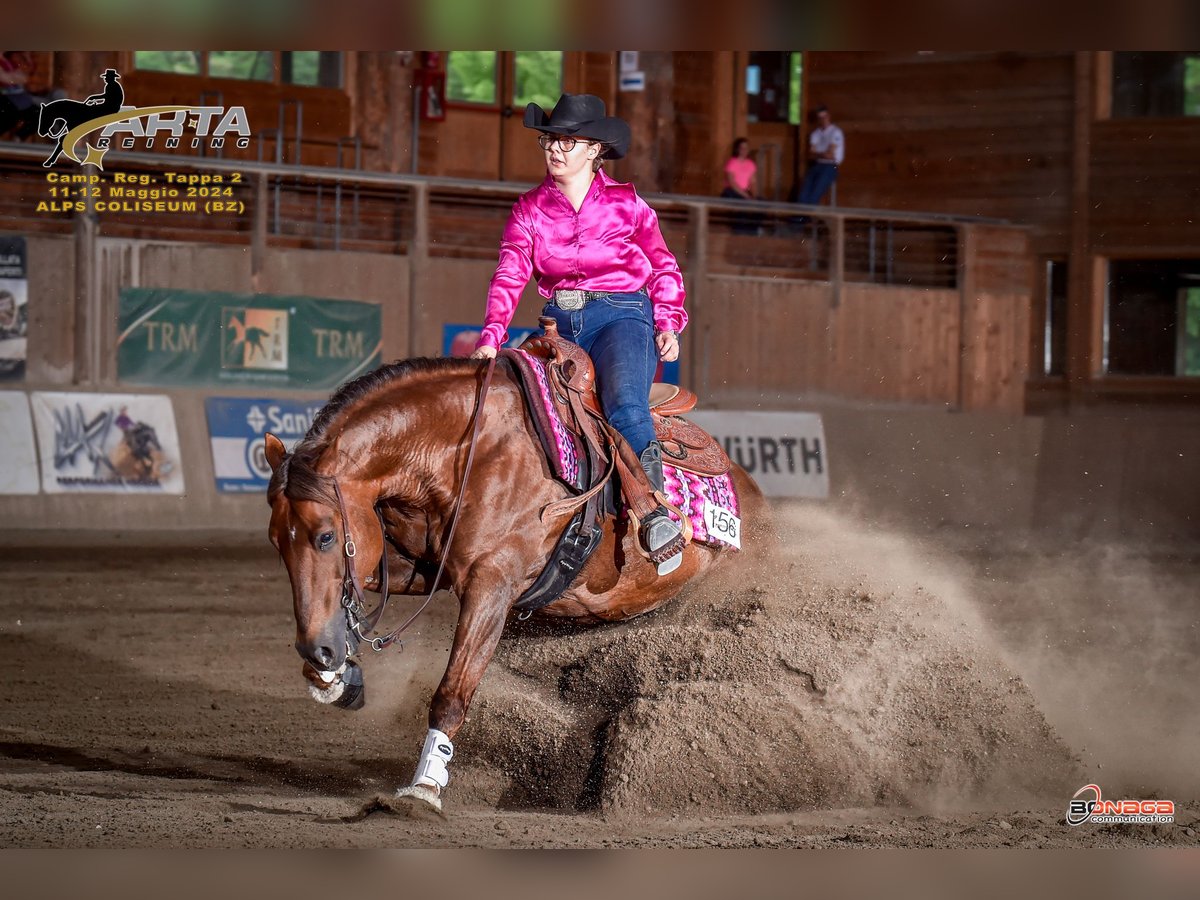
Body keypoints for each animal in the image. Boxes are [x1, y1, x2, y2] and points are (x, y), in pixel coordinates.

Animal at [266, 360, 763, 816]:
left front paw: (424, 787)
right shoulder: (428, 568)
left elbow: (452, 694)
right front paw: (332, 673)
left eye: (326, 536)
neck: (468, 452)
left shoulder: (491, 584)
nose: (317, 649)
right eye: (276, 541)